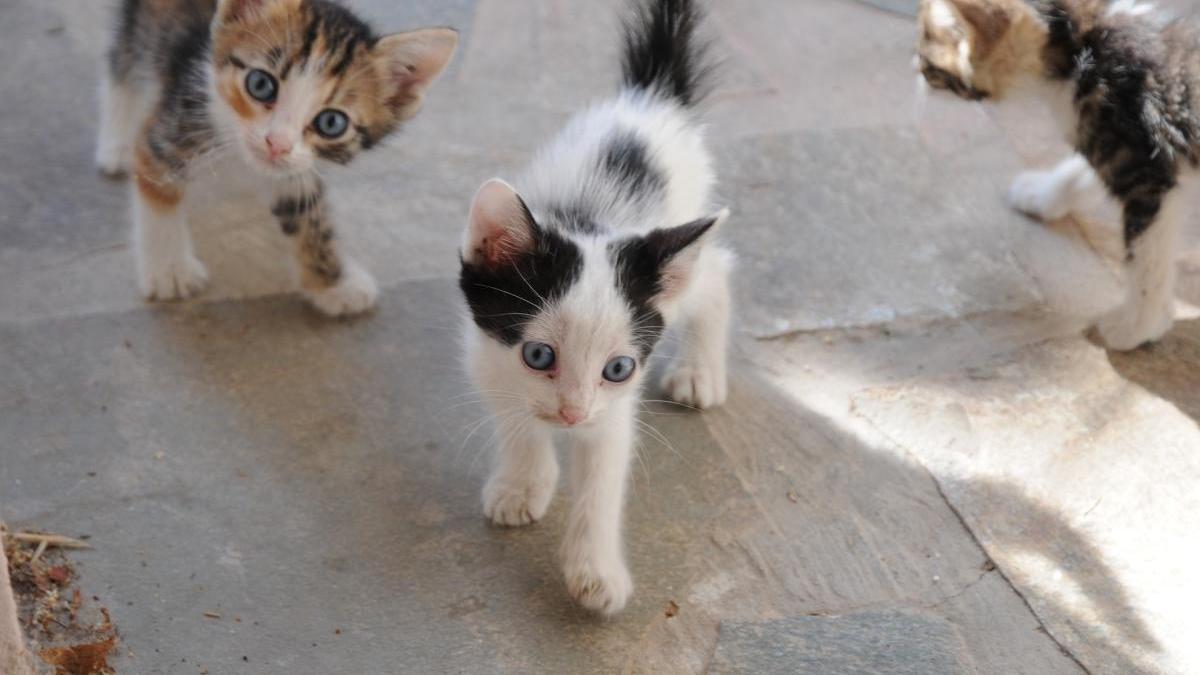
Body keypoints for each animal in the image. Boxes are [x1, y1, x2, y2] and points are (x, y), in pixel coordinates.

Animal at [96, 0, 453, 314]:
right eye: (260, 84)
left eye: (331, 123)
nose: (277, 144)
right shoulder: (176, 124)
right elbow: (157, 189)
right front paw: (170, 270)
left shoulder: (299, 169)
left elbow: (309, 215)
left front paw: (333, 284)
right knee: (122, 58)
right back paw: (116, 143)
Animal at [456, 0, 729, 612]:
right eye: (538, 356)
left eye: (619, 368)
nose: (572, 414)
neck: (588, 224)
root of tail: (649, 97)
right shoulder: (487, 359)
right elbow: (516, 422)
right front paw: (522, 484)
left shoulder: (615, 410)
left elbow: (603, 479)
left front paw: (595, 573)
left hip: (678, 255)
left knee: (719, 273)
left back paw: (699, 372)